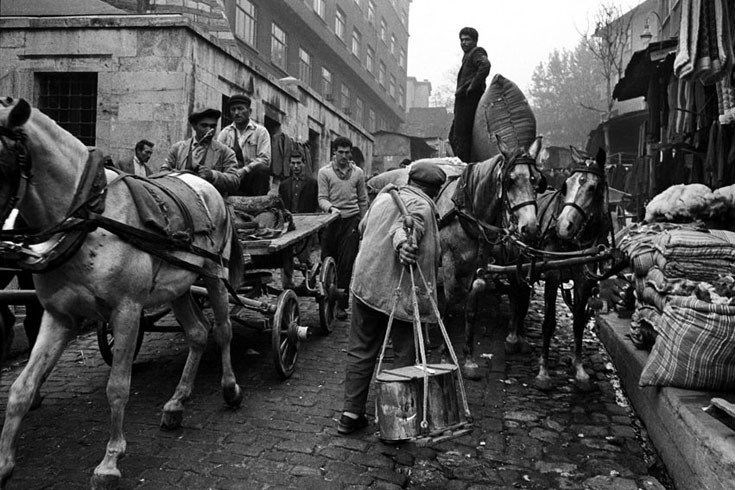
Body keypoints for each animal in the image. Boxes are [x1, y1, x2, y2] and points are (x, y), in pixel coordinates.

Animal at [0, 97, 244, 488]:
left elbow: (117, 386)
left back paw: (231, 388)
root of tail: (202, 182)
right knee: (197, 333)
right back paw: (176, 403)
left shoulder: (127, 311)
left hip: (214, 276)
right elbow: (22, 387)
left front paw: (110, 461)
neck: (89, 217)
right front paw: (5, 463)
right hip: (178, 286)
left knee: (222, 330)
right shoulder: (59, 315)